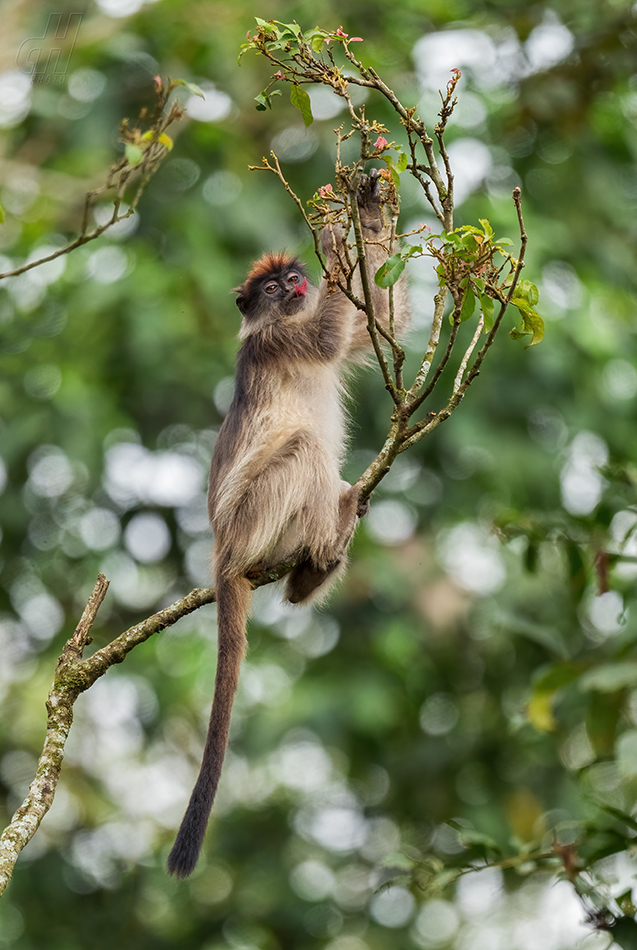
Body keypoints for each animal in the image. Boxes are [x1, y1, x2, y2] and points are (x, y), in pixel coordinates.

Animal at [166, 171, 410, 876]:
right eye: (272, 290)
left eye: (291, 280)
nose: (298, 286)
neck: (281, 320)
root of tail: (222, 552)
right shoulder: (277, 338)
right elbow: (329, 338)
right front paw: (336, 233)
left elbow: (385, 321)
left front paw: (370, 211)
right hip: (253, 518)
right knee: (303, 448)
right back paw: (328, 539)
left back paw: (311, 572)